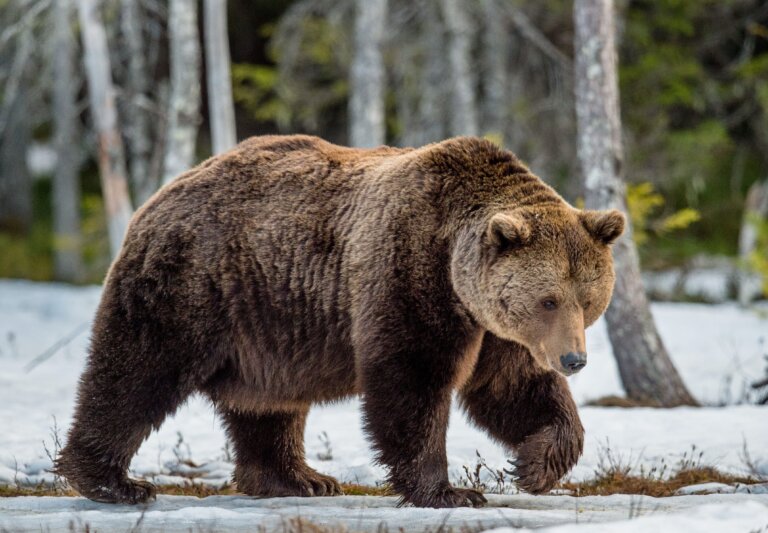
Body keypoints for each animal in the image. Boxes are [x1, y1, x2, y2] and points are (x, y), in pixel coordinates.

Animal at [58, 133, 624, 508]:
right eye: (548, 299)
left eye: (588, 298)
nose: (574, 359)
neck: (454, 268)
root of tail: (160, 195)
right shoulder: (407, 275)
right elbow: (412, 383)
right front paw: (449, 491)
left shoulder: (492, 328)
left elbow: (512, 388)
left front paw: (534, 466)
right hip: (191, 287)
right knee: (136, 373)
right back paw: (114, 482)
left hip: (265, 328)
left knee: (267, 405)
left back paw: (299, 478)